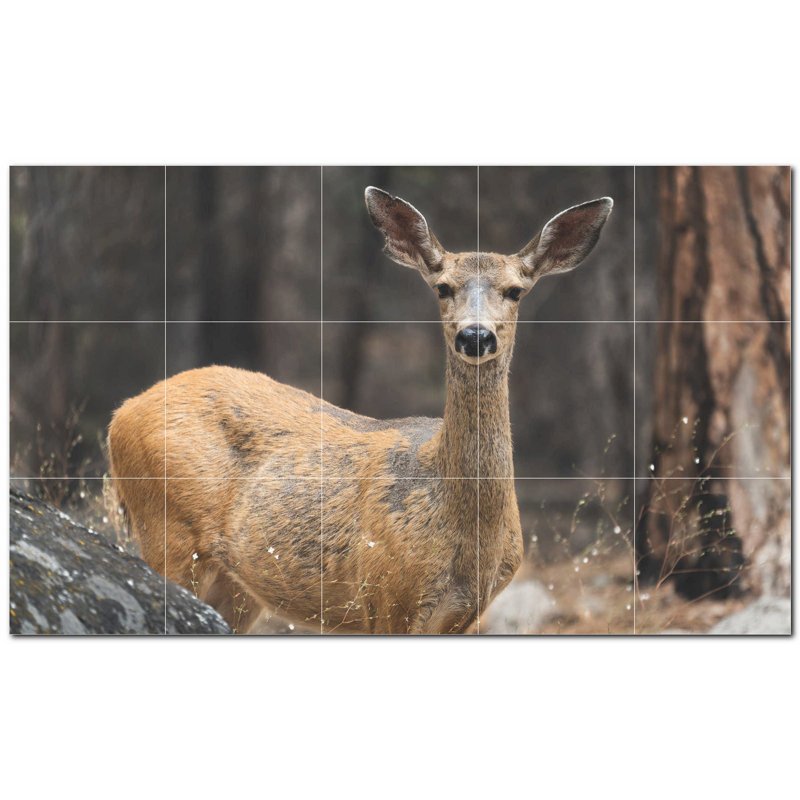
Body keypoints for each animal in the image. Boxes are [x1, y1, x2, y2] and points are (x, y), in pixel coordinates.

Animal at [107, 187, 612, 633]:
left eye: (515, 291)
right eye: (443, 287)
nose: (475, 335)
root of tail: (121, 413)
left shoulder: (465, 613)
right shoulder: (387, 593)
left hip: (238, 583)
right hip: (167, 531)